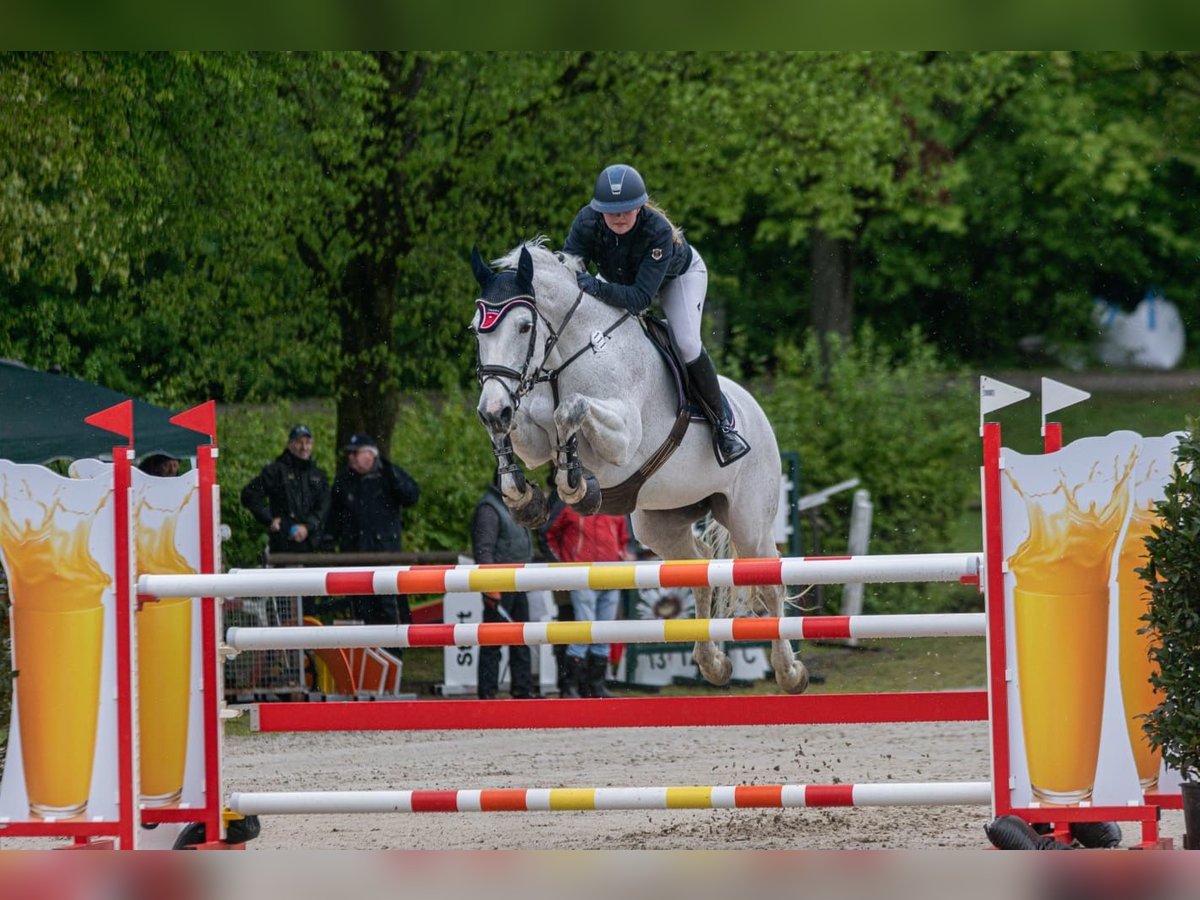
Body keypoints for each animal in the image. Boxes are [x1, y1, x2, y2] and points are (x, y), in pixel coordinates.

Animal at [468, 240, 806, 696]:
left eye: (523, 327)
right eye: (477, 329)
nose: (492, 407)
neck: (565, 356)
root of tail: (756, 410)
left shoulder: (622, 441)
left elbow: (569, 409)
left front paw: (576, 486)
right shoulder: (531, 437)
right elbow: (522, 434)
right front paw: (523, 497)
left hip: (749, 520)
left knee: (770, 581)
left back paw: (790, 672)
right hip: (659, 522)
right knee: (699, 564)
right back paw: (713, 663)